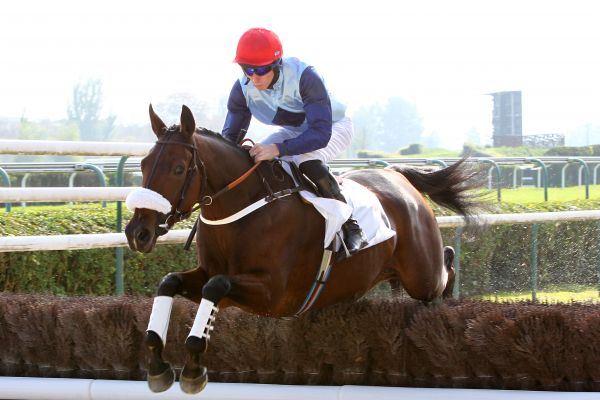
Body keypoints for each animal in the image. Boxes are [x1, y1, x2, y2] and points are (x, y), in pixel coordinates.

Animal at [125, 104, 482, 394]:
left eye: (178, 169)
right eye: (143, 164)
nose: (137, 232)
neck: (245, 210)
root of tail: (398, 176)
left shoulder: (274, 293)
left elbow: (216, 286)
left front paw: (193, 368)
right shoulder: (210, 276)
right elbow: (170, 281)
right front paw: (157, 364)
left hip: (422, 274)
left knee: (445, 266)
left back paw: (448, 306)